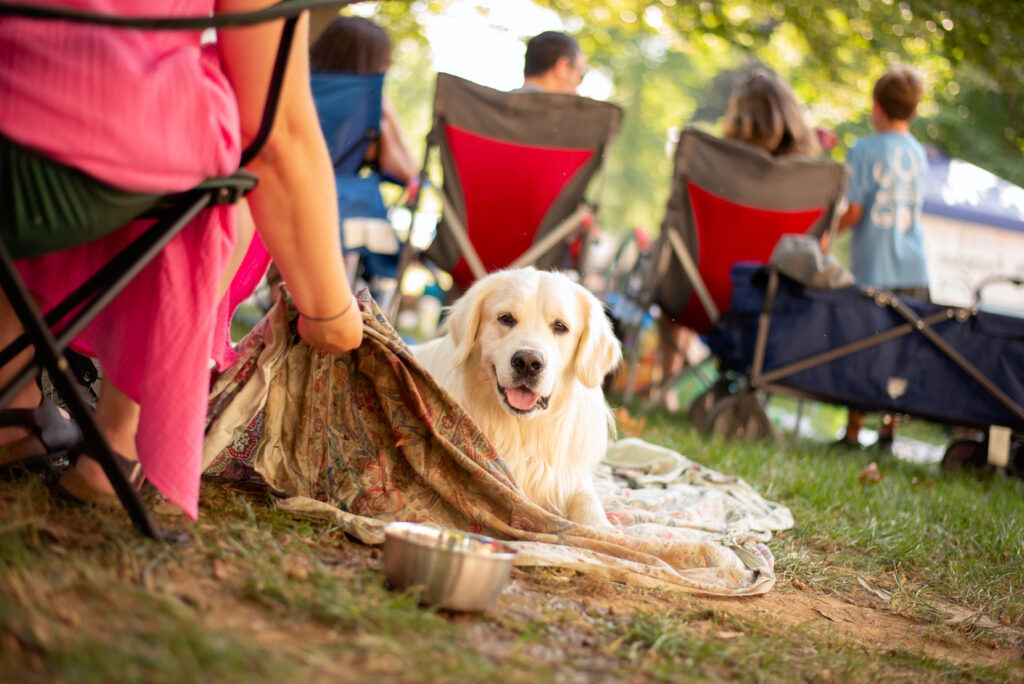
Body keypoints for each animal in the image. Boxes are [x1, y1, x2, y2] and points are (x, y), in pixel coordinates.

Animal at [409, 268, 618, 528]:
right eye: (506, 318)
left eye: (560, 327)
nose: (528, 362)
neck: (521, 429)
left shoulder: (570, 478)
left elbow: (589, 502)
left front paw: (601, 528)